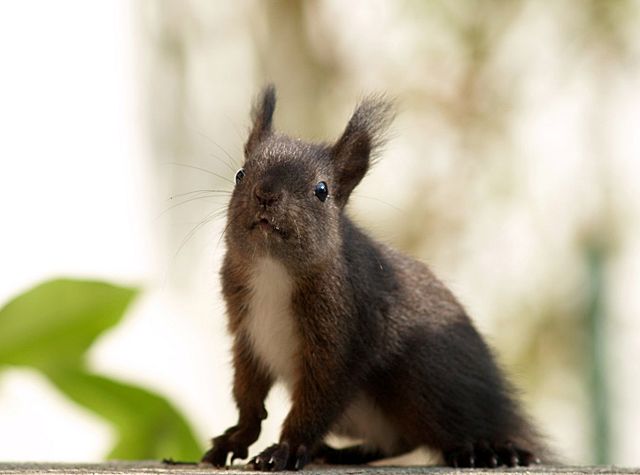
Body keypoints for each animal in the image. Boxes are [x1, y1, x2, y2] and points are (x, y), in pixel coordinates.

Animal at [200, 85, 549, 471]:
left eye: (321, 190)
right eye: (240, 174)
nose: (266, 194)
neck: (272, 268)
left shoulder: (343, 333)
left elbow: (317, 400)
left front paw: (287, 448)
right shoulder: (247, 331)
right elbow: (247, 393)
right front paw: (235, 438)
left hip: (426, 380)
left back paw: (489, 448)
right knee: (397, 441)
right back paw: (338, 452)